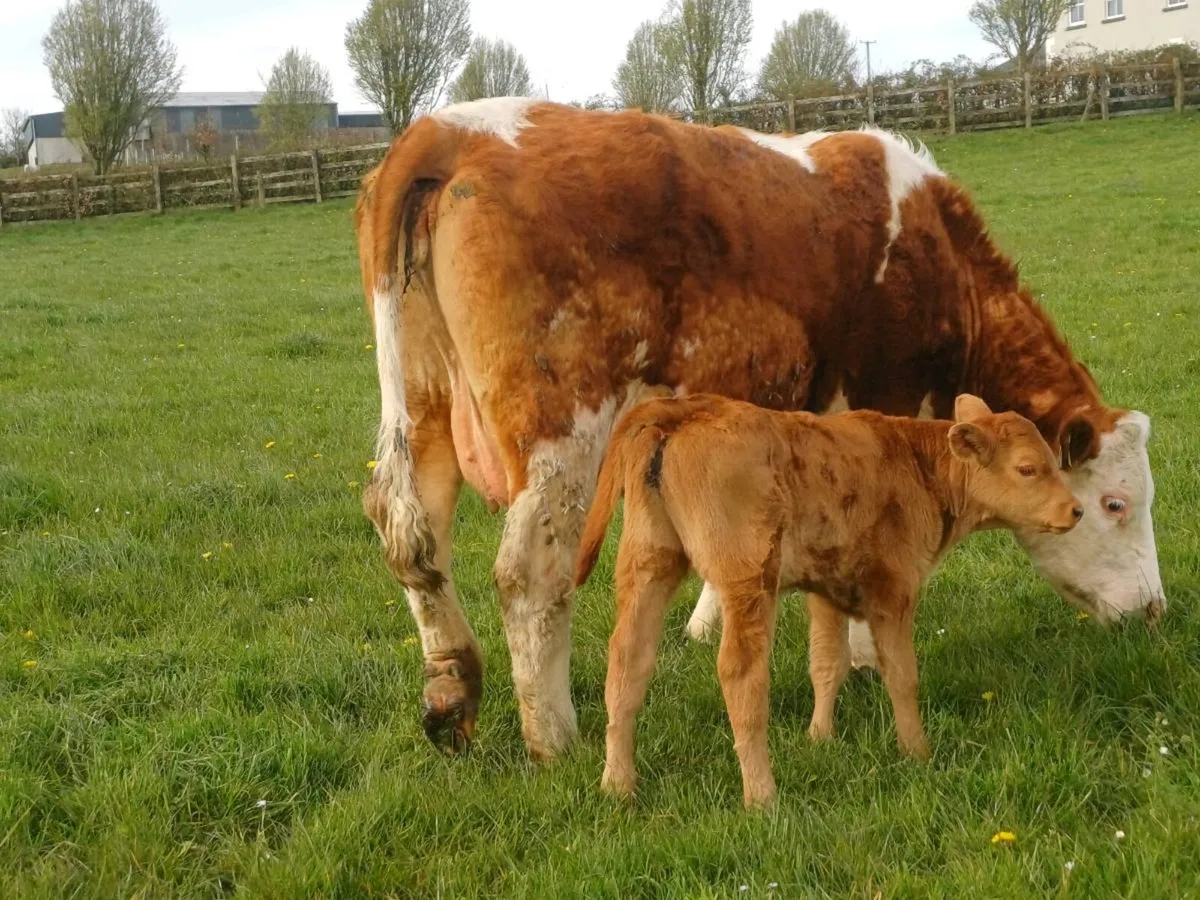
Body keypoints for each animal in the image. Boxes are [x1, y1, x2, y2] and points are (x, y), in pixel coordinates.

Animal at [353, 97, 1165, 761]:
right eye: (1114, 504)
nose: (1153, 610)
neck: (939, 259)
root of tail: (449, 129)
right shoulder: (879, 404)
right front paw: (864, 656)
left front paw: (706, 626)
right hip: (562, 428)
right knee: (531, 571)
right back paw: (554, 739)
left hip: (421, 401)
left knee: (410, 533)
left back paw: (451, 695)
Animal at [574, 393, 1083, 808]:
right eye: (1027, 468)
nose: (1075, 510)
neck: (917, 464)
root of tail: (688, 409)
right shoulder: (892, 591)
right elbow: (901, 674)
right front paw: (917, 752)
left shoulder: (827, 592)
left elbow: (826, 663)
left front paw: (819, 737)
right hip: (747, 581)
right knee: (741, 675)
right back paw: (762, 796)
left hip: (649, 563)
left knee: (628, 661)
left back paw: (617, 784)